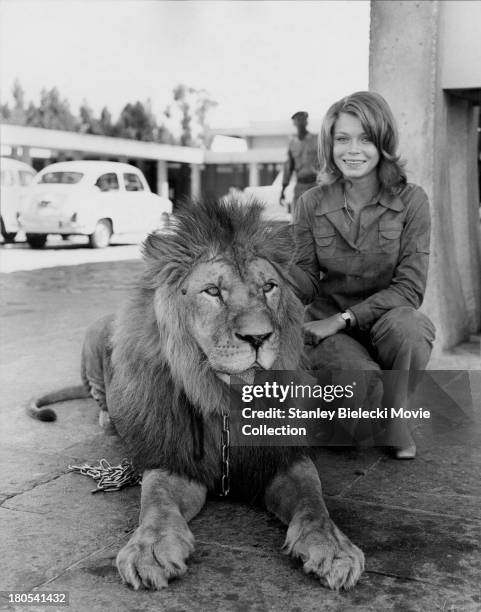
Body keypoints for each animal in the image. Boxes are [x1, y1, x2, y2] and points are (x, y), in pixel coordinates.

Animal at [29, 198, 364, 592]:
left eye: (269, 287)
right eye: (213, 292)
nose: (258, 337)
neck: (226, 401)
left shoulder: (282, 456)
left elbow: (314, 501)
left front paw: (333, 548)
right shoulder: (174, 460)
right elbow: (156, 501)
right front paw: (151, 549)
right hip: (96, 337)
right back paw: (110, 418)